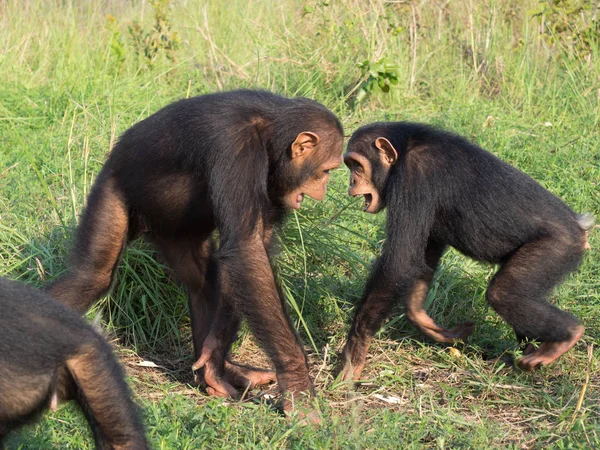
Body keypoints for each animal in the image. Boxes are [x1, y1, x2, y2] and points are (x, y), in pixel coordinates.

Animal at [47, 89, 344, 406]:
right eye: (326, 170)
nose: (324, 189)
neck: (269, 136)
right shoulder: (235, 147)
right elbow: (246, 250)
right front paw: (298, 382)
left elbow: (251, 253)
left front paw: (215, 355)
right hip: (113, 188)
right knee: (92, 277)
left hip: (176, 233)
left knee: (205, 282)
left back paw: (221, 371)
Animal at [340, 120, 592, 380]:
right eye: (349, 165)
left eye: (357, 166)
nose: (351, 182)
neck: (404, 150)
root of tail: (580, 226)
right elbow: (425, 253)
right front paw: (424, 321)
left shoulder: (414, 176)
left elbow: (400, 263)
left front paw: (353, 355)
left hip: (556, 248)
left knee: (504, 294)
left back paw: (566, 337)